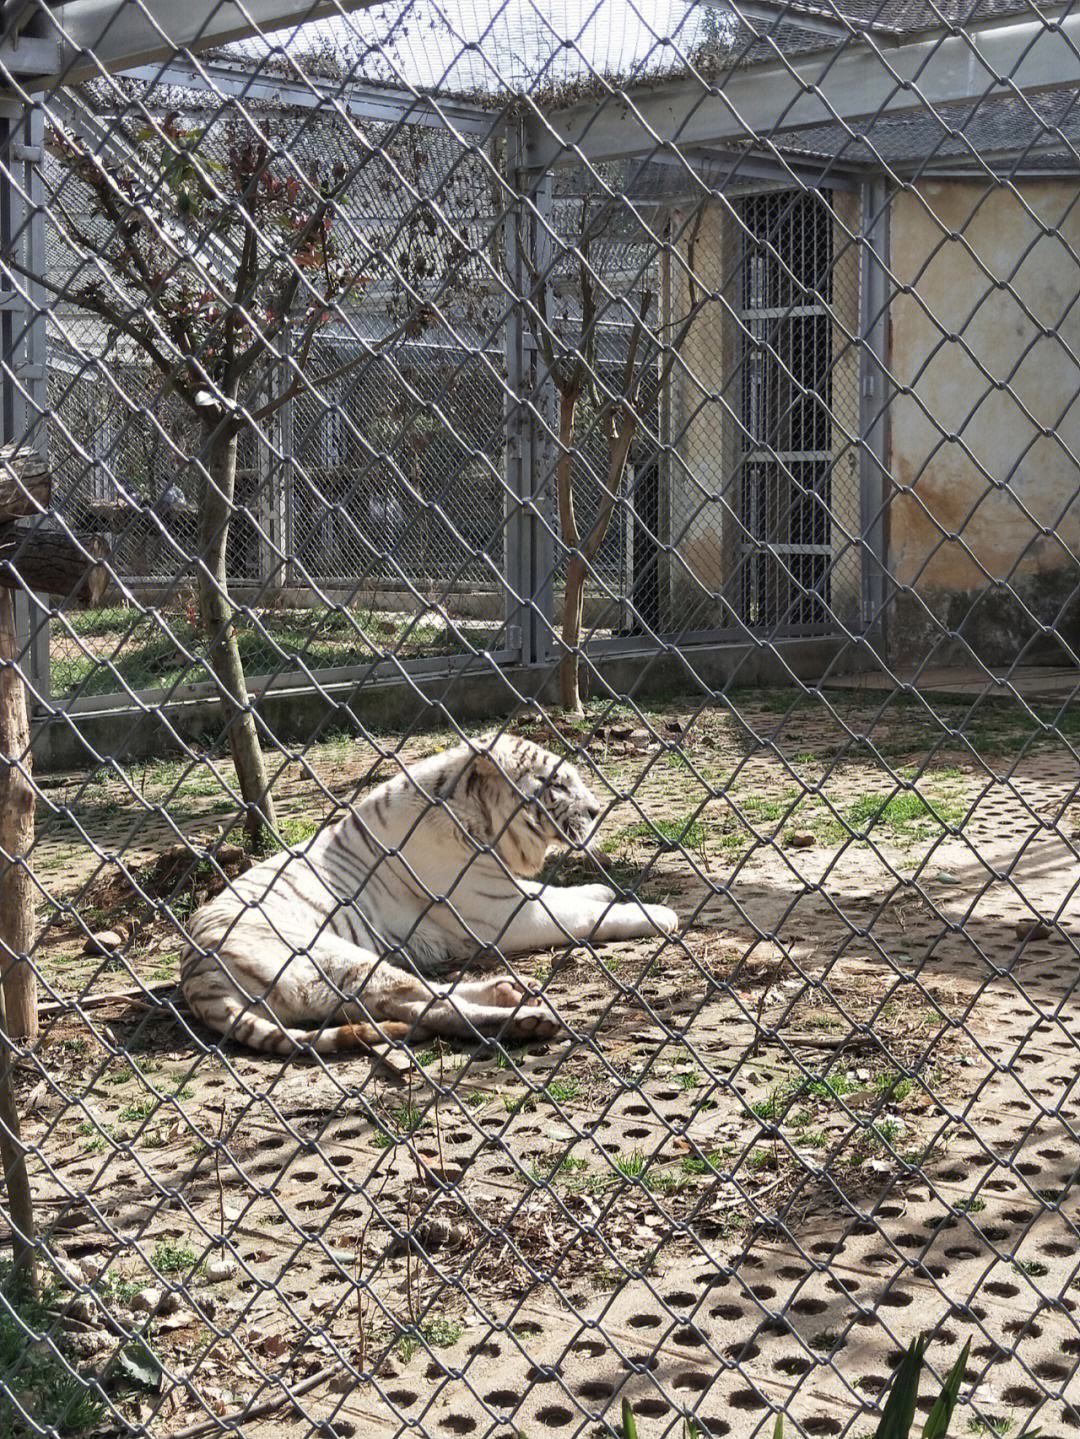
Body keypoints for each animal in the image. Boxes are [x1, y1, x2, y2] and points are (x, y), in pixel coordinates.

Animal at [181, 736, 678, 1053]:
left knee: (417, 1004)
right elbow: (574, 913)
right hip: (333, 957)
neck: (477, 821)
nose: (597, 810)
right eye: (555, 783)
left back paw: (511, 994)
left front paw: (602, 889)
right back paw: (523, 1017)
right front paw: (657, 914)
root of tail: (195, 978)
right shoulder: (501, 911)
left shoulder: (507, 886)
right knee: (425, 1000)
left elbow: (562, 892)